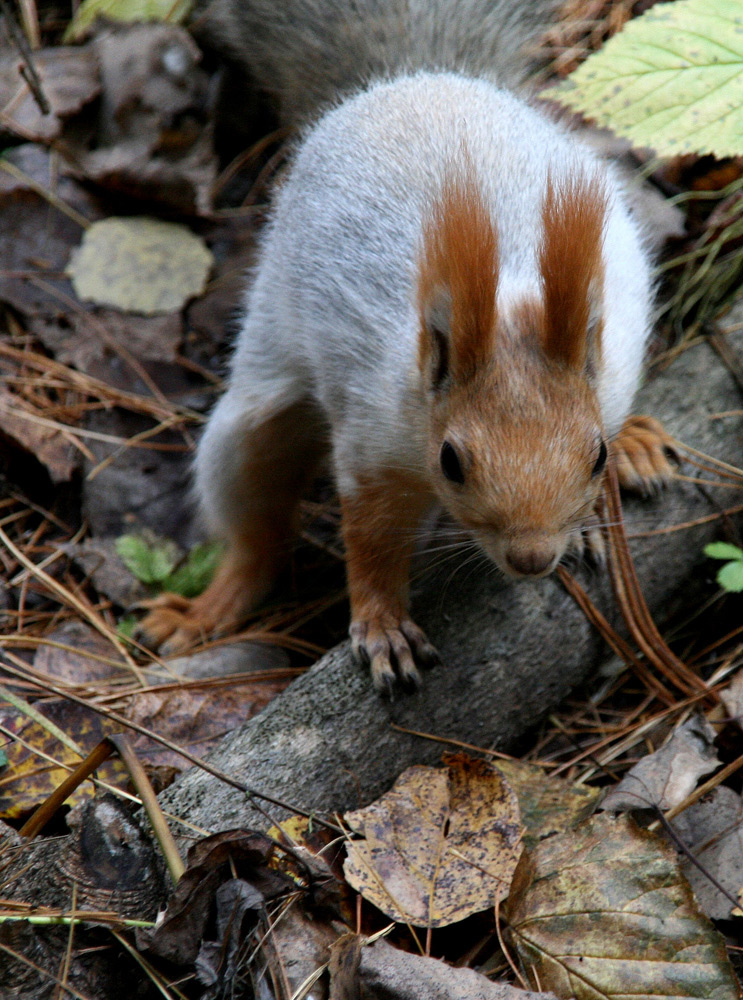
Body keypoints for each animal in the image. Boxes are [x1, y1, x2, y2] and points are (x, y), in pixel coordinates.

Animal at [141, 0, 680, 692]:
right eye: (451, 461)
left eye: (596, 457)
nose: (532, 556)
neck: (507, 305)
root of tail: (413, 78)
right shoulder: (373, 435)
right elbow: (371, 534)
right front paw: (382, 625)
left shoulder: (608, 377)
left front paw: (613, 472)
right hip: (256, 405)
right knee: (256, 529)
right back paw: (208, 607)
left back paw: (642, 439)